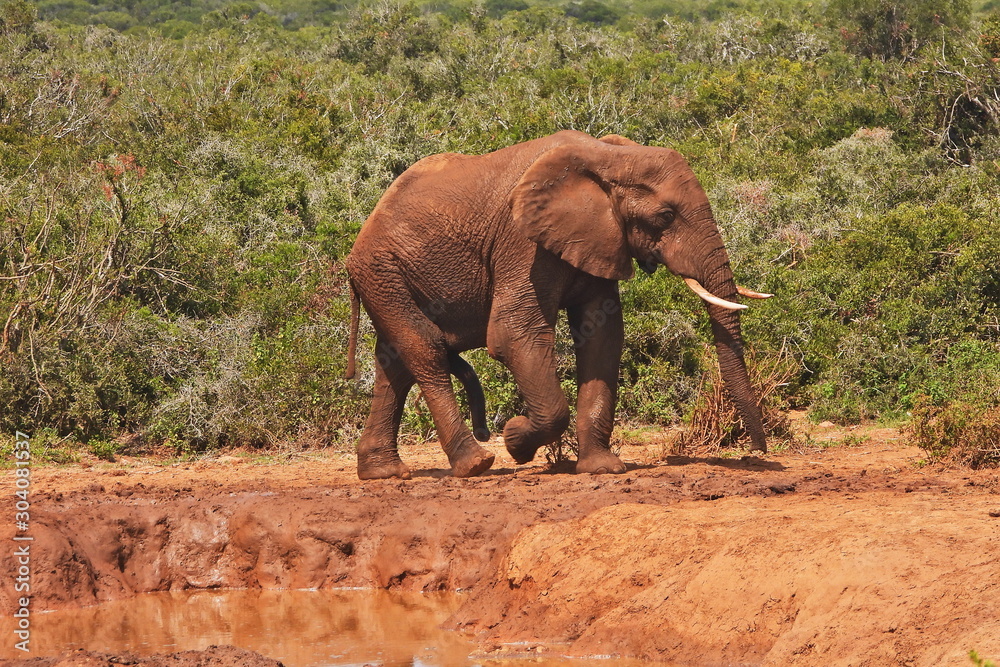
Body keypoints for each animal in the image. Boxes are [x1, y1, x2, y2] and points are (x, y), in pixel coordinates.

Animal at [344, 130, 769, 480]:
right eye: (666, 215)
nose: (757, 454)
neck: (609, 156)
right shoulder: (521, 243)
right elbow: (513, 333)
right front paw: (515, 439)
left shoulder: (601, 239)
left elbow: (602, 338)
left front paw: (602, 468)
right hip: (382, 270)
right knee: (425, 349)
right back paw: (475, 464)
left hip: (387, 278)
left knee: (396, 363)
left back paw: (383, 472)